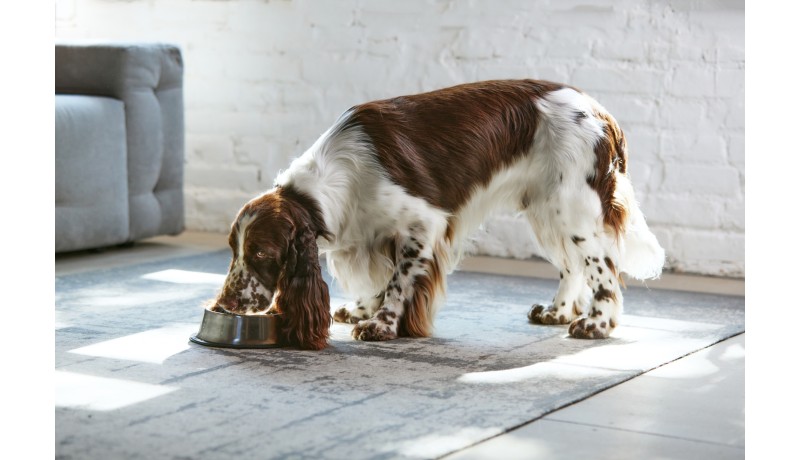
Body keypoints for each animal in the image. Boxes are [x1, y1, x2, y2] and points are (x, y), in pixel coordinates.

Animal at [209, 81, 664, 350]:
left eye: (263, 253)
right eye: (233, 250)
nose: (224, 303)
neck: (332, 183)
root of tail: (603, 114)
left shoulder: (425, 224)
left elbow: (398, 283)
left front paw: (381, 325)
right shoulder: (378, 234)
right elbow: (382, 281)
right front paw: (361, 309)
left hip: (572, 207)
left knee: (604, 272)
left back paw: (597, 324)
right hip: (546, 209)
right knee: (572, 267)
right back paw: (557, 312)